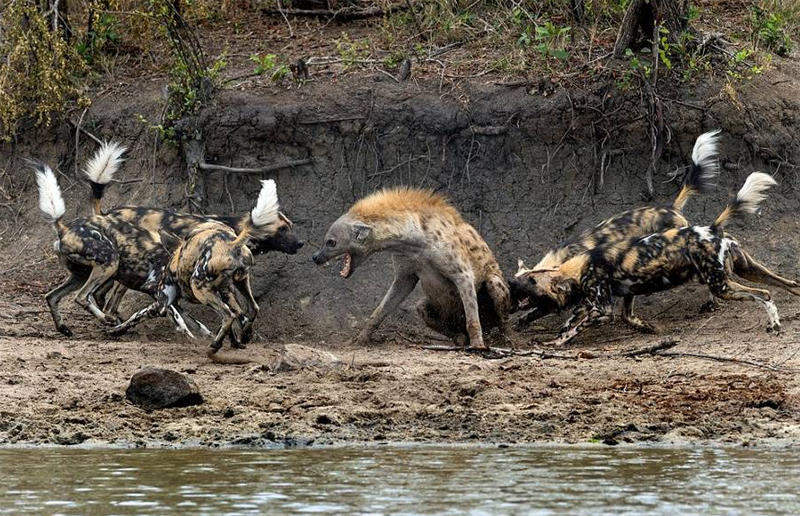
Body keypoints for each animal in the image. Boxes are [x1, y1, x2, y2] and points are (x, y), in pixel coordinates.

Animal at [108, 178, 284, 354]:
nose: (147, 284)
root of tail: (232, 243)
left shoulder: (162, 304)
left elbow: (135, 316)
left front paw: (114, 330)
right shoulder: (222, 294)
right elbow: (229, 322)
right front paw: (237, 341)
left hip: (199, 288)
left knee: (228, 315)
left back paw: (215, 345)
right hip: (239, 284)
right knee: (251, 310)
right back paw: (240, 336)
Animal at [310, 187, 510, 352]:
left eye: (331, 242)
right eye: (325, 240)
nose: (315, 257)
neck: (414, 242)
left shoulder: (462, 273)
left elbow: (472, 315)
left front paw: (478, 345)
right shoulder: (405, 273)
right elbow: (381, 309)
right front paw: (360, 338)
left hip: (495, 285)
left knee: (501, 317)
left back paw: (503, 340)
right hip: (428, 306)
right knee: (423, 309)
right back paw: (460, 338)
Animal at [512, 172, 780, 346]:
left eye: (531, 283)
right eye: (522, 280)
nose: (511, 286)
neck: (575, 265)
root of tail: (712, 227)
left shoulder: (601, 308)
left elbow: (573, 327)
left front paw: (556, 343)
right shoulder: (600, 298)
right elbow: (571, 322)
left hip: (721, 284)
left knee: (762, 294)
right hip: (739, 271)